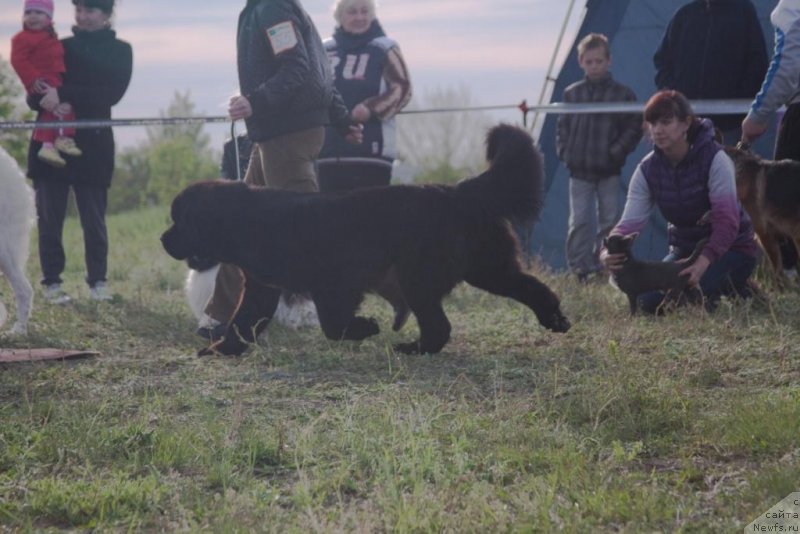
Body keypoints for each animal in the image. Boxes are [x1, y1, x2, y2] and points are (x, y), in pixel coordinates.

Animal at [162, 125, 572, 358]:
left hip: (420, 276)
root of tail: (458, 191)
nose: (163, 238)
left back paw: (414, 349)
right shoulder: (263, 288)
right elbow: (242, 321)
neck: (247, 221)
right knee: (533, 288)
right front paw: (222, 350)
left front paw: (365, 328)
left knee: (440, 324)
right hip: (487, 267)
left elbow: (332, 324)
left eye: (179, 221)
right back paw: (555, 320)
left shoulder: (336, 282)